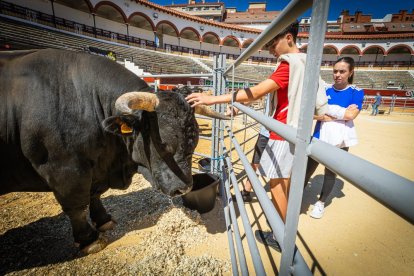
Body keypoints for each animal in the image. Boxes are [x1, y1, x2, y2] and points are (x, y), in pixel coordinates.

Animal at [0, 49, 226, 252]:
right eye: (163, 144)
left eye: (194, 142)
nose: (184, 189)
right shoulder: (65, 170)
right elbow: (77, 206)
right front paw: (89, 240)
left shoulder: (96, 170)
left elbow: (95, 195)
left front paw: (104, 220)